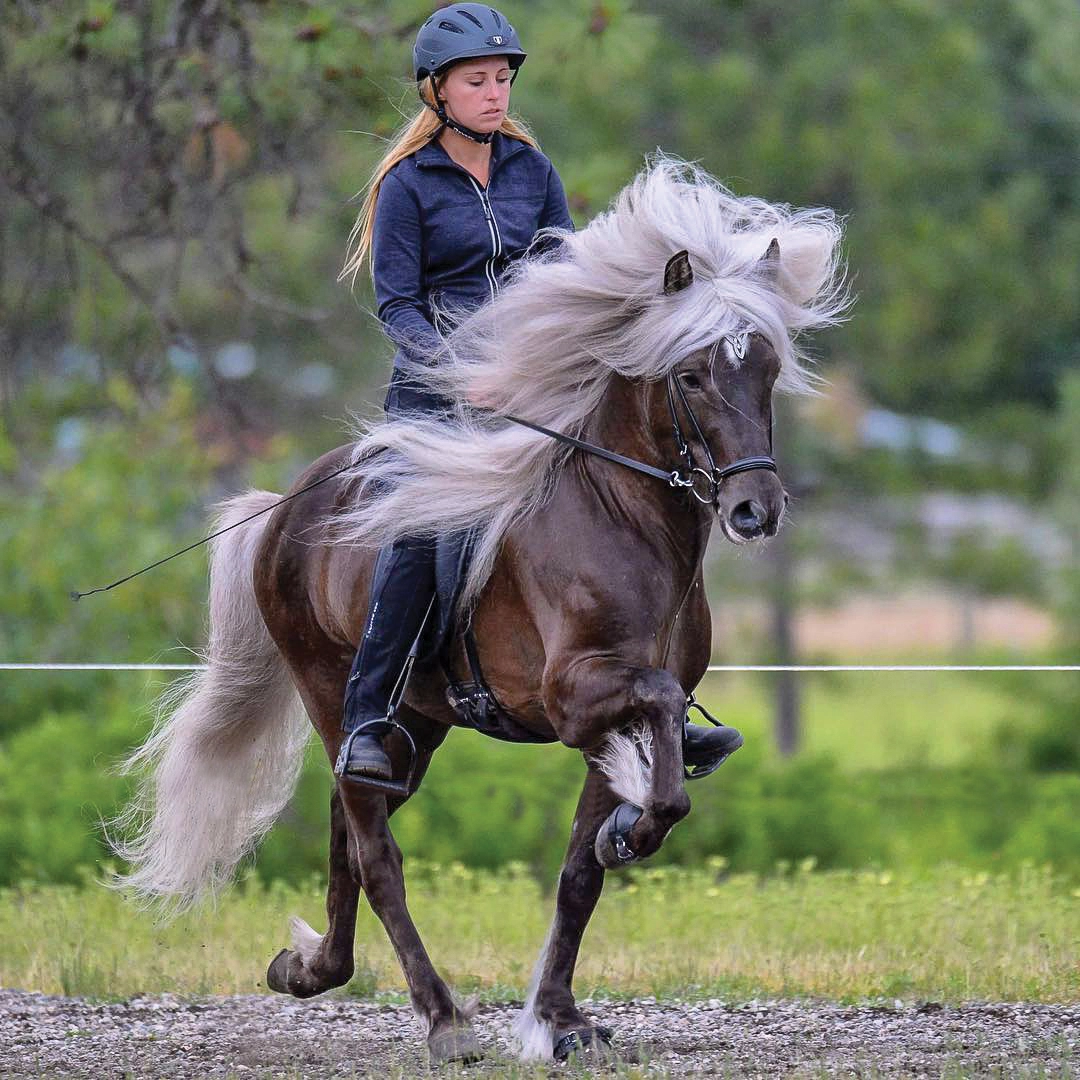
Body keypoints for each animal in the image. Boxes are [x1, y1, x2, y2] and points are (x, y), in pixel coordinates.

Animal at [110, 156, 848, 1065]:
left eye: (767, 370)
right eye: (690, 375)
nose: (754, 510)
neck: (624, 522)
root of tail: (285, 507)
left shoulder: (607, 718)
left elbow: (581, 873)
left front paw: (562, 1019)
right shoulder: (578, 698)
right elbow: (662, 740)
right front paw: (632, 828)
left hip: (415, 724)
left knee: (350, 827)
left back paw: (311, 968)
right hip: (334, 695)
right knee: (376, 853)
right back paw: (444, 1021)